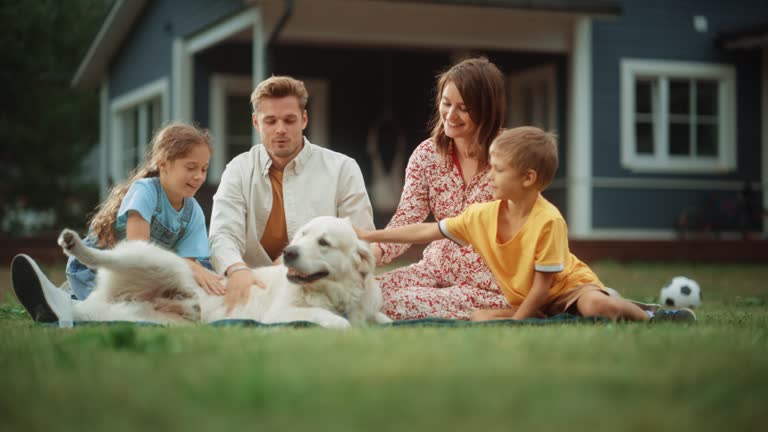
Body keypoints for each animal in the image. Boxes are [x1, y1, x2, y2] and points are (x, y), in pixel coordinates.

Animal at [56, 216, 390, 328]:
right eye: (303, 236)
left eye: (323, 242)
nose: (288, 252)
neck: (336, 292)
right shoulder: (279, 315)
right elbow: (337, 321)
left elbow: (383, 319)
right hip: (161, 261)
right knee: (107, 257)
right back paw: (74, 243)